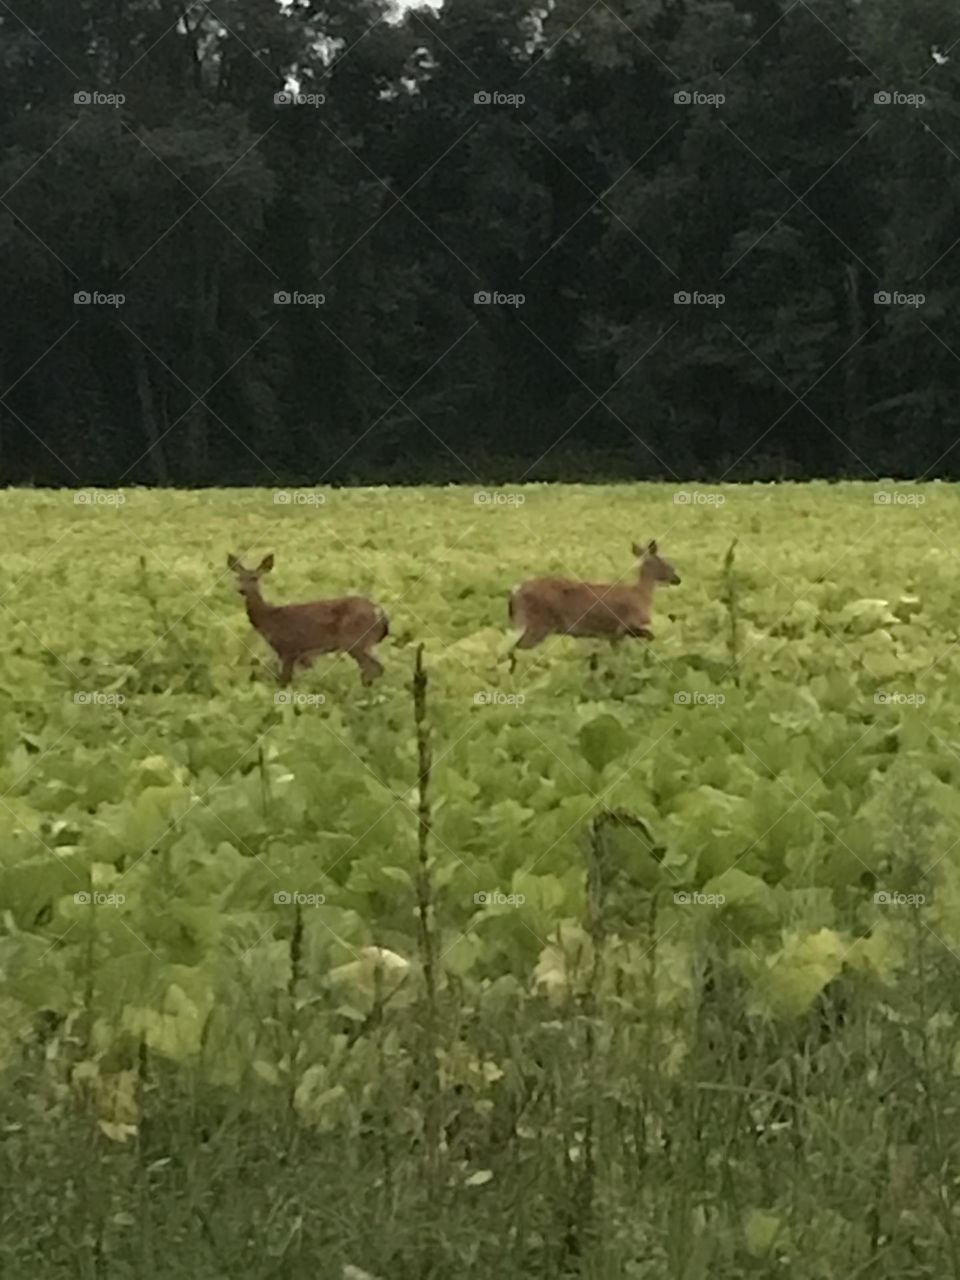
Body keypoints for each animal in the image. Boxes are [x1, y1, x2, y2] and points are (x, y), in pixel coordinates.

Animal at [227, 553, 389, 686]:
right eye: (238, 578)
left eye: (254, 578)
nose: (241, 590)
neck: (270, 619)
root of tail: (380, 613)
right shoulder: (301, 656)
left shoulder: (289, 648)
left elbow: (284, 682)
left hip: (354, 640)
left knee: (374, 668)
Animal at [508, 540, 681, 657]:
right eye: (664, 562)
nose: (677, 579)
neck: (641, 594)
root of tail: (516, 591)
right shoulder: (627, 626)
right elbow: (651, 637)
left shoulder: (615, 635)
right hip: (538, 624)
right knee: (516, 649)